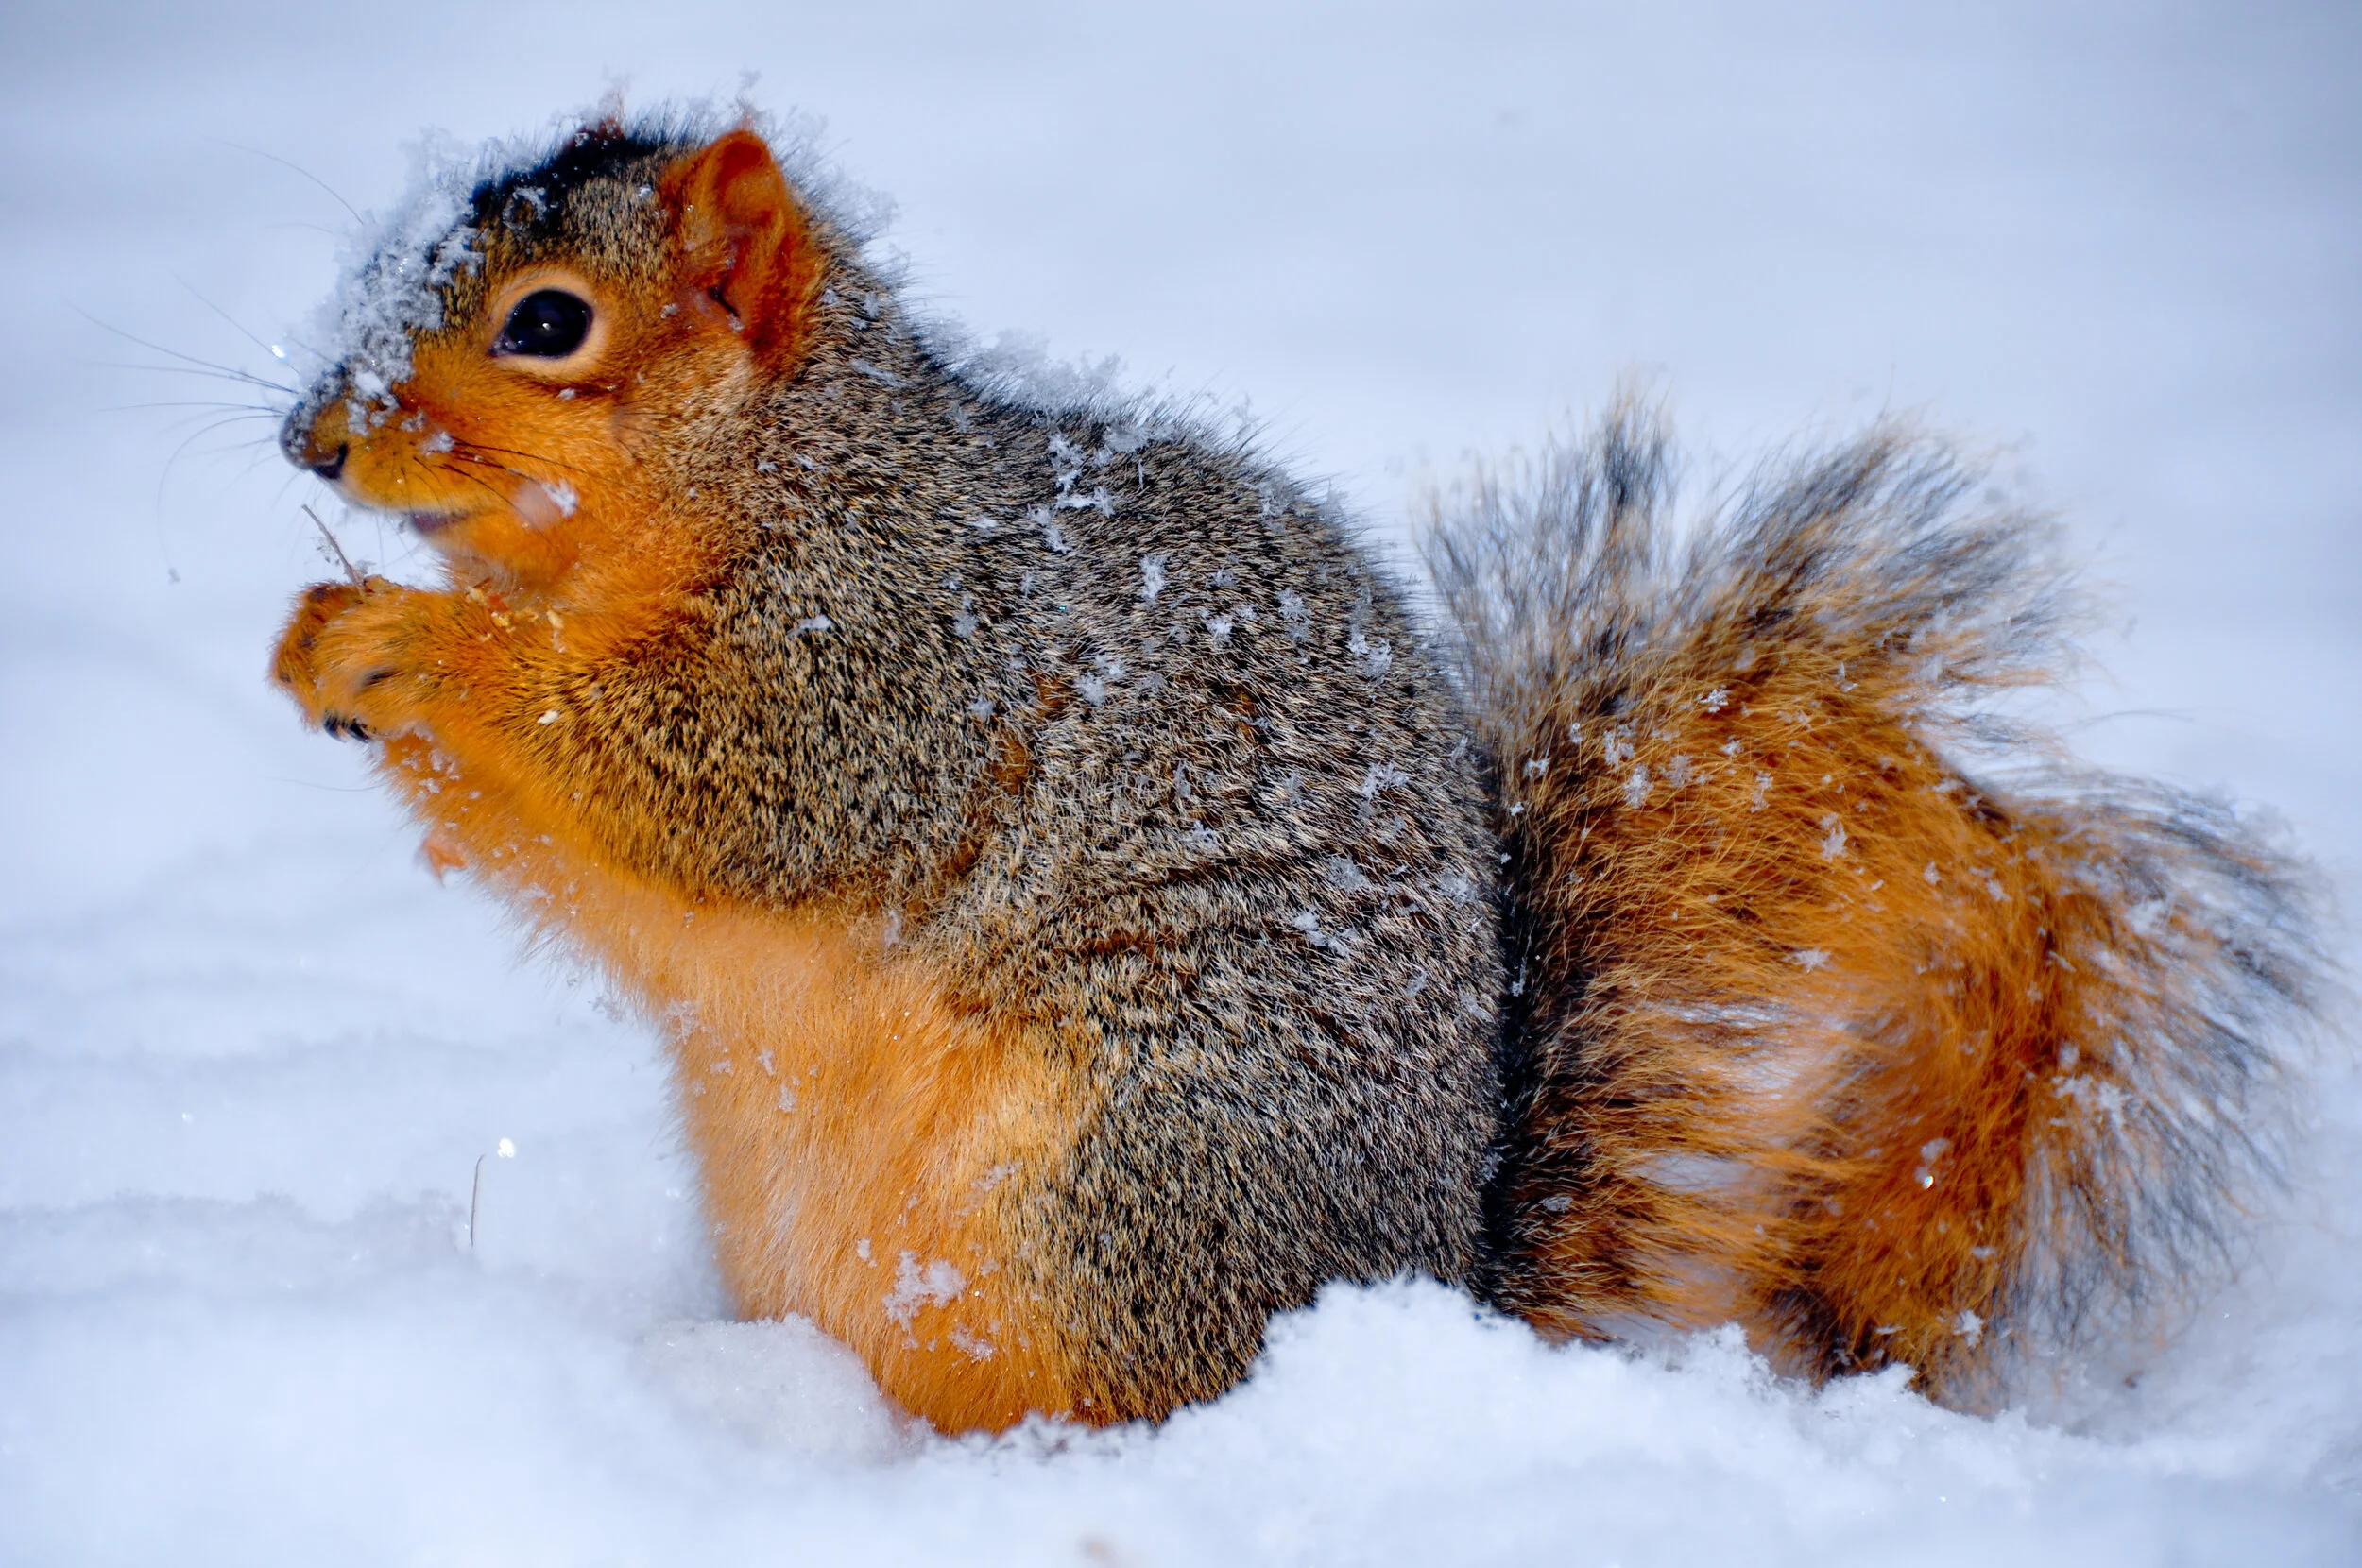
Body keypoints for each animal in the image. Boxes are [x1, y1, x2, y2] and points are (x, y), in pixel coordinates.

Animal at [269, 110, 2323, 1434]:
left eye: (549, 322)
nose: (311, 439)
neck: (768, 474)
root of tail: (1423, 1288)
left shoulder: (899, 654)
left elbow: (725, 786)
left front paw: (402, 643)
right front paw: (323, 647)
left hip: (1117, 1178)